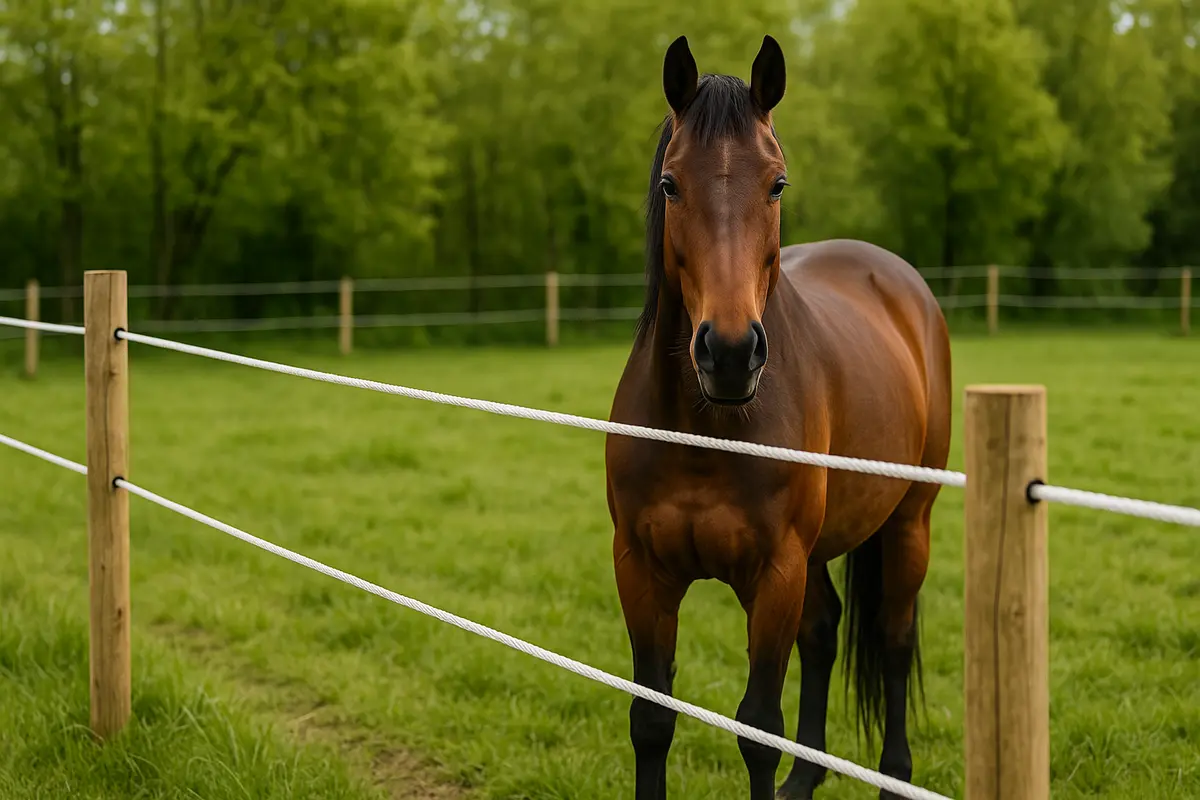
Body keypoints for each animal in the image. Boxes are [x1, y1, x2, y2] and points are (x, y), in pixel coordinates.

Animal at [603, 35, 952, 800]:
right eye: (671, 184)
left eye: (777, 183)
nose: (731, 353)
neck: (702, 429)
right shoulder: (641, 570)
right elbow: (651, 719)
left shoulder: (775, 573)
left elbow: (759, 727)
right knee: (824, 634)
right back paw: (806, 777)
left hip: (907, 524)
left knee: (893, 638)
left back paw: (893, 776)